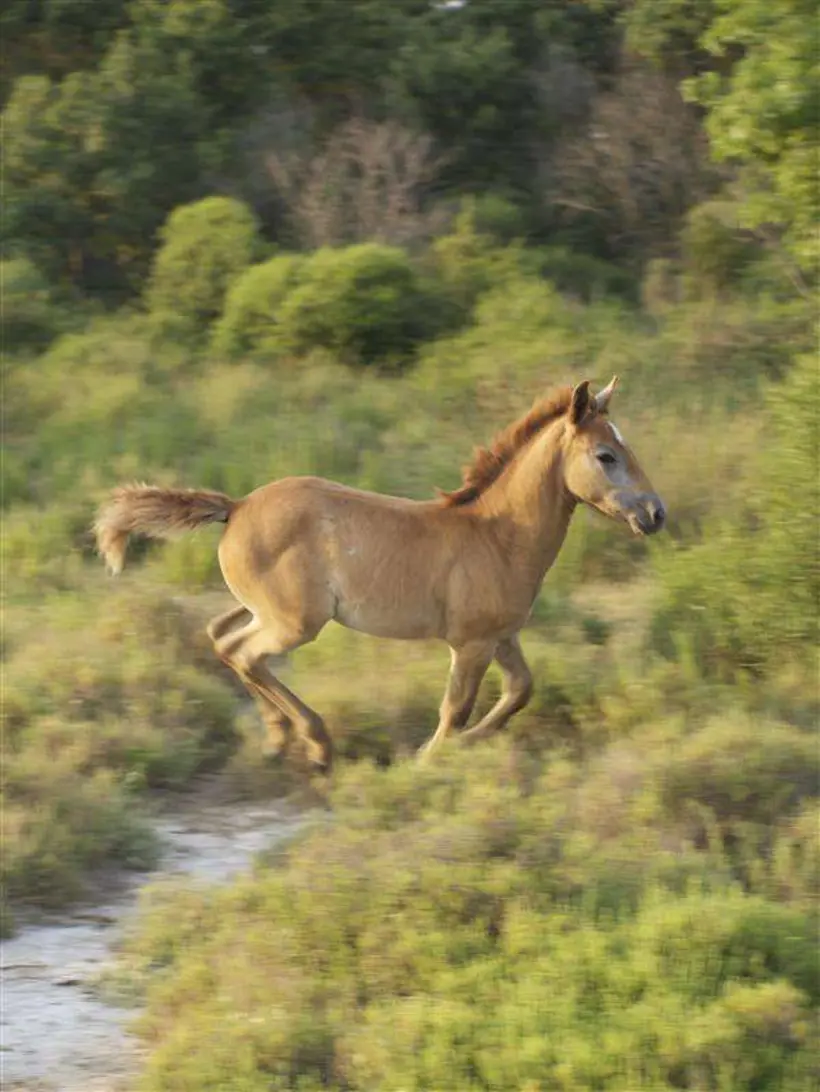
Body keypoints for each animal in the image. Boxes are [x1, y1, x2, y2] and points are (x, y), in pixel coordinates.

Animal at [94, 376, 665, 773]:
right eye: (605, 455)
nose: (655, 514)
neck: (498, 535)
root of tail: (236, 507)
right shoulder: (471, 643)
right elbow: (455, 708)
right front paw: (429, 760)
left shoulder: (502, 637)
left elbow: (520, 690)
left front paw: (462, 747)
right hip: (296, 622)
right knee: (243, 652)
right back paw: (316, 744)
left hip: (264, 609)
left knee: (222, 638)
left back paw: (279, 737)